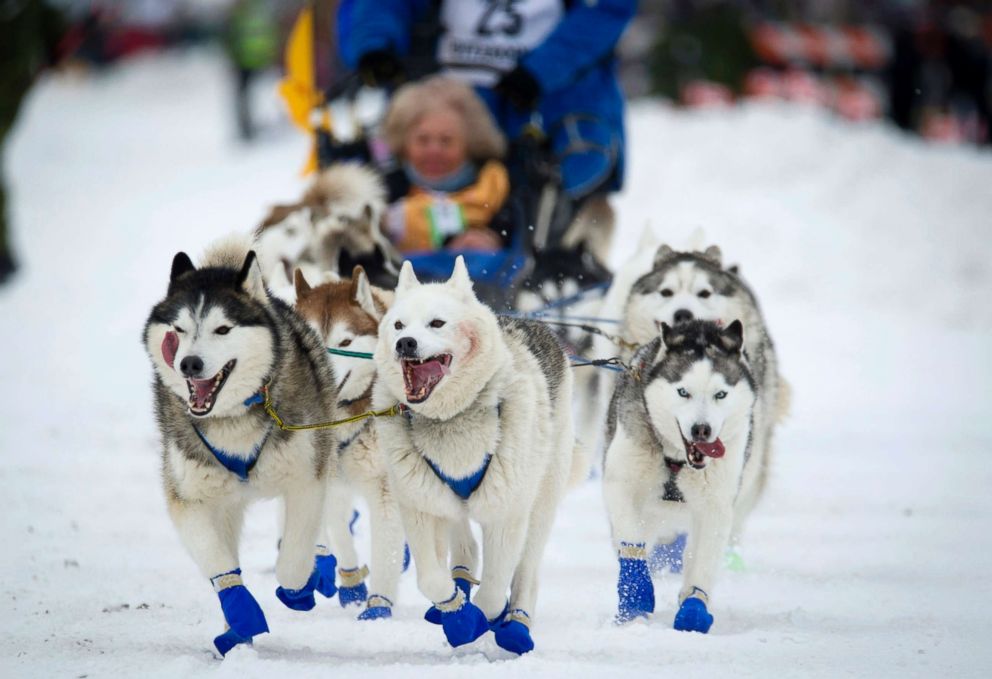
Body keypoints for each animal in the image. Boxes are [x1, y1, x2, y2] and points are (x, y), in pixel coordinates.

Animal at [141, 238, 340, 652]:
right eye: (179, 329)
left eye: (222, 329)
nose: (189, 363)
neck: (232, 417)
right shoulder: (189, 498)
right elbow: (217, 562)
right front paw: (240, 614)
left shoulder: (305, 481)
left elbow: (294, 558)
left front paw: (301, 587)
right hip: (225, 501)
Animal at [370, 258, 580, 656]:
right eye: (398, 325)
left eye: (437, 323)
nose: (405, 343)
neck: (451, 419)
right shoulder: (419, 506)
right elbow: (430, 579)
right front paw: (457, 612)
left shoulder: (506, 513)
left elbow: (495, 594)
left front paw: (483, 619)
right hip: (445, 500)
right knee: (464, 546)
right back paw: (460, 585)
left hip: (540, 499)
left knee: (526, 569)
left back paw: (517, 624)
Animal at [600, 318, 756, 632]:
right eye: (683, 392)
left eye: (721, 394)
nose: (701, 430)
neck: (676, 458)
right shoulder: (621, 484)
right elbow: (631, 543)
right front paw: (636, 597)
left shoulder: (716, 505)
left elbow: (704, 562)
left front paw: (694, 608)